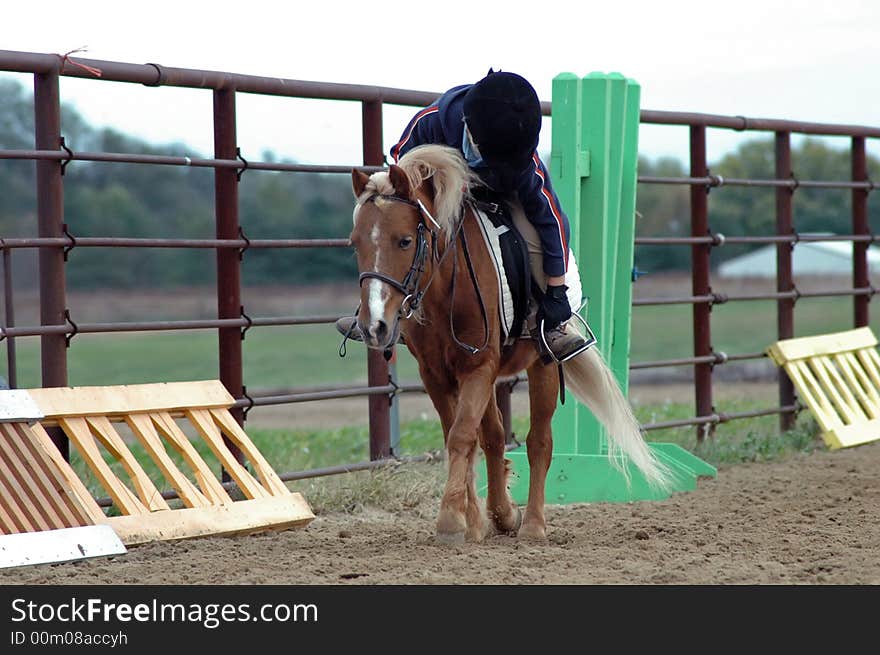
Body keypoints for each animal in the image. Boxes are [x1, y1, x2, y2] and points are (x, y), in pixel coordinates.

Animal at [348, 145, 672, 544]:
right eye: (355, 242)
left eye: (404, 240)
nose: (374, 325)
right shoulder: (437, 375)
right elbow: (464, 436)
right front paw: (472, 520)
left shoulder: (479, 367)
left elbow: (462, 436)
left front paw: (451, 521)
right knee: (494, 436)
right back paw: (501, 515)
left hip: (541, 367)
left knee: (539, 442)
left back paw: (532, 524)